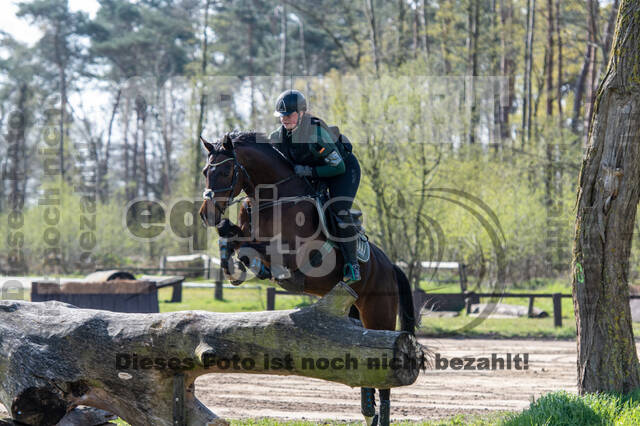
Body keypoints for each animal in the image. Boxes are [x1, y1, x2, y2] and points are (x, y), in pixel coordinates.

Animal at [200, 131, 418, 424]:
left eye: (225, 171)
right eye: (205, 172)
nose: (206, 214)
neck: (272, 199)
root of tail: (390, 266)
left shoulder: (291, 256)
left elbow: (247, 246)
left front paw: (246, 268)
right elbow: (229, 235)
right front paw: (233, 270)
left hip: (379, 312)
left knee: (385, 370)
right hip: (354, 313)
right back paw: (368, 409)